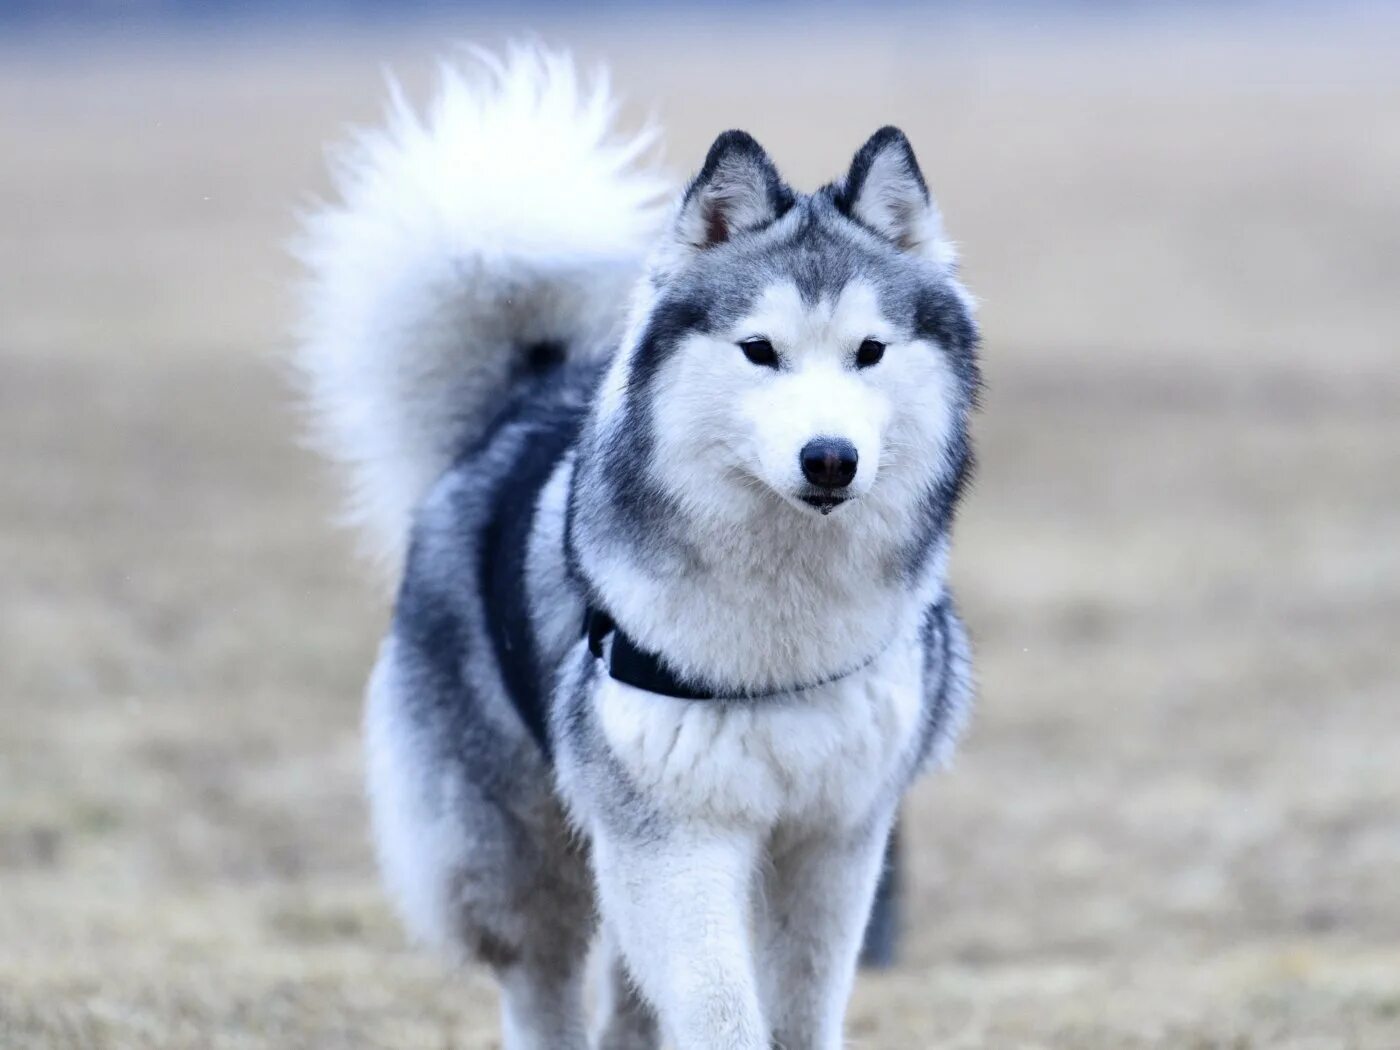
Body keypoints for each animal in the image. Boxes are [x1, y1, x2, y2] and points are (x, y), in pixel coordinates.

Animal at [298, 49, 974, 1050]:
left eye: (870, 351)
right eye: (759, 350)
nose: (829, 458)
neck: (782, 612)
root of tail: (519, 402)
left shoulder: (836, 837)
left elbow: (803, 1008)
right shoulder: (672, 836)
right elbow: (722, 1010)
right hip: (522, 855)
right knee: (542, 988)